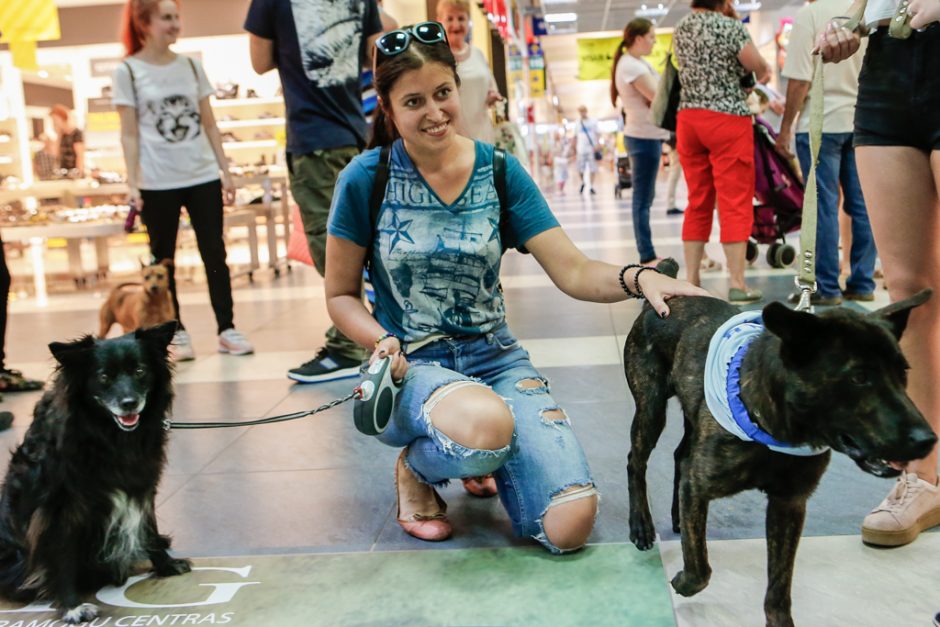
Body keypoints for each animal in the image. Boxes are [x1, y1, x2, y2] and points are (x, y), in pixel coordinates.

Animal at [620, 258, 936, 627]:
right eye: (858, 377)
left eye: (904, 373)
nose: (927, 439)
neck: (779, 425)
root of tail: (662, 291)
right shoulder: (701, 485)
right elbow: (700, 569)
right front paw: (683, 580)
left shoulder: (789, 504)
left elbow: (779, 588)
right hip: (651, 406)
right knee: (636, 461)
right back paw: (641, 525)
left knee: (680, 457)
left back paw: (677, 517)